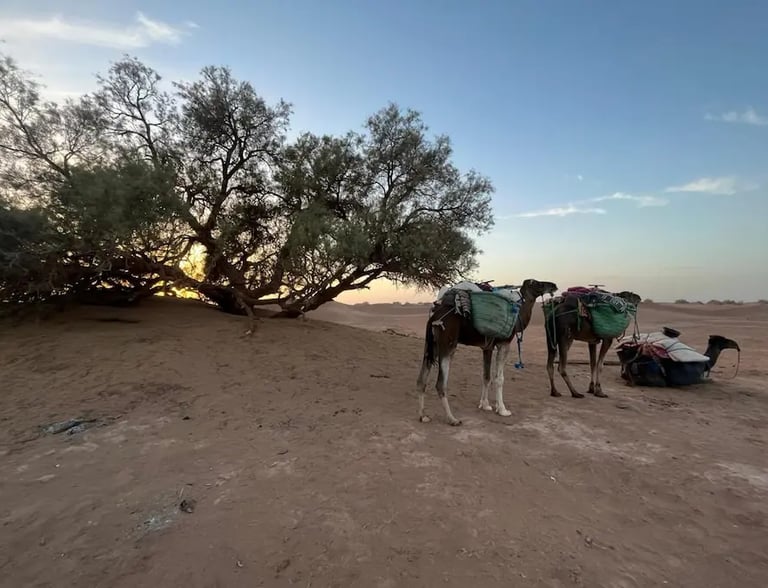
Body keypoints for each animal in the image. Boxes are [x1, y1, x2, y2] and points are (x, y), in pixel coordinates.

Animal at [416, 278, 558, 426]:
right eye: (537, 283)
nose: (553, 285)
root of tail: (433, 317)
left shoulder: (487, 347)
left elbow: (486, 376)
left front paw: (485, 405)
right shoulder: (504, 344)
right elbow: (499, 379)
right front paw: (502, 410)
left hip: (431, 344)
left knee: (421, 380)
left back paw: (423, 416)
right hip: (447, 344)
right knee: (440, 384)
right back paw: (452, 419)